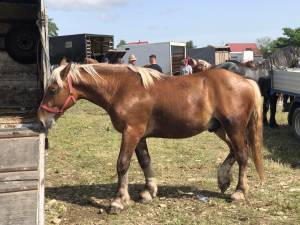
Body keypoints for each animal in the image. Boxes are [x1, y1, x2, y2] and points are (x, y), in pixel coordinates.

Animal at [38, 62, 264, 214]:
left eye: (53, 89)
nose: (41, 119)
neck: (121, 88)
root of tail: (246, 80)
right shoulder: (139, 135)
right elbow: (144, 161)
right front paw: (149, 191)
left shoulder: (131, 132)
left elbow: (122, 164)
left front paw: (118, 201)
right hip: (220, 129)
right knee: (236, 150)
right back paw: (223, 179)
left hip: (233, 127)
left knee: (243, 155)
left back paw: (239, 191)